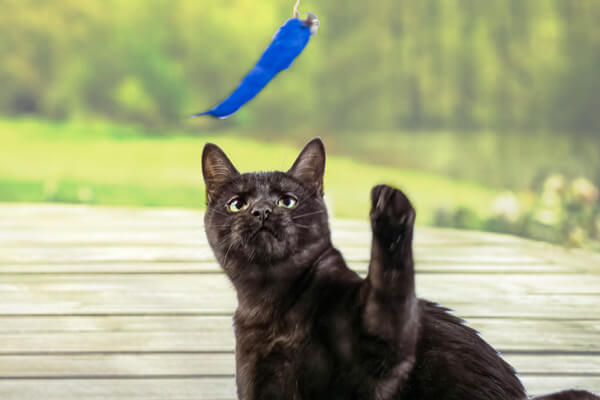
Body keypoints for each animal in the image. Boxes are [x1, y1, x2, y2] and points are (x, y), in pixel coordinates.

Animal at [203, 138, 600, 400]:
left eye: (288, 201)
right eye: (238, 204)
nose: (262, 211)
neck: (277, 305)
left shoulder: (380, 362)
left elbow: (389, 290)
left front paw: (390, 215)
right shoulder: (260, 384)